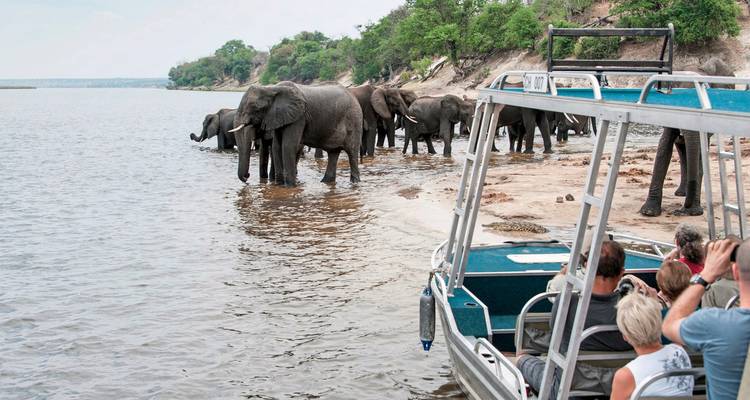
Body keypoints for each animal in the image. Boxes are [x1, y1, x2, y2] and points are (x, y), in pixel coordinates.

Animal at [231, 81, 362, 186]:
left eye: (255, 107)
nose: (247, 176)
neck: (272, 88)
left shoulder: (298, 117)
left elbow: (288, 146)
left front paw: (290, 186)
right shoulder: (278, 117)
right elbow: (277, 146)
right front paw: (279, 185)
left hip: (354, 119)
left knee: (352, 152)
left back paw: (354, 183)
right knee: (333, 153)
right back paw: (326, 182)